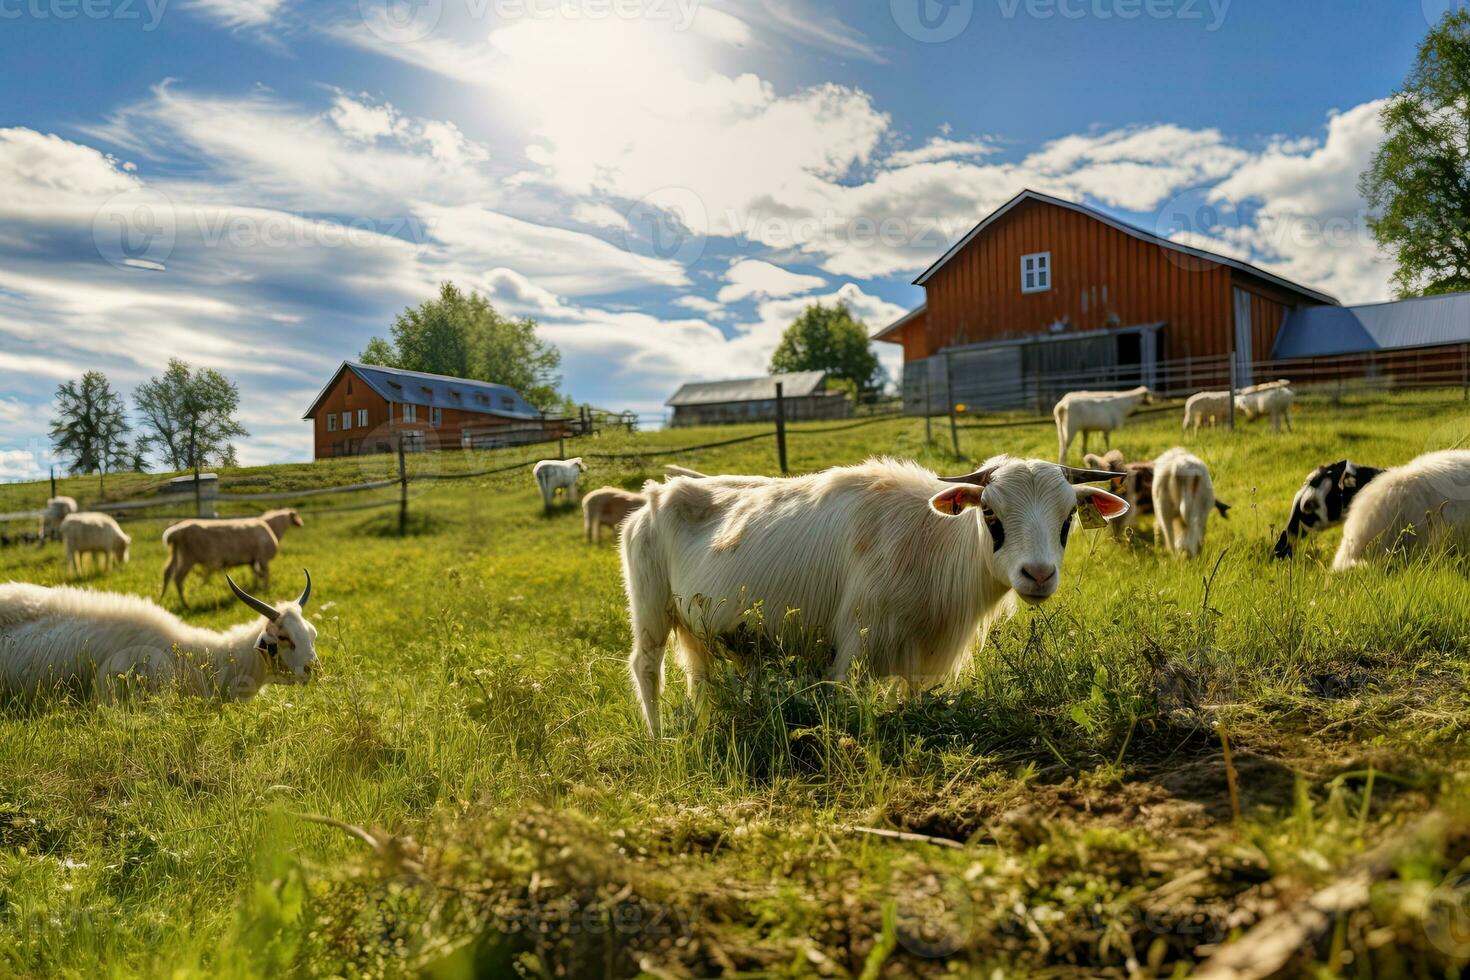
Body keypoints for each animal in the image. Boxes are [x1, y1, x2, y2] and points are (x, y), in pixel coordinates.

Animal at [620, 458, 1123, 734]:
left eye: (1068, 517)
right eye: (990, 514)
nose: (1037, 574)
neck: (928, 540)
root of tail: (653, 496)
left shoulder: (920, 661)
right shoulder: (854, 652)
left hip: (699, 632)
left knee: (700, 681)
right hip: (650, 611)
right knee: (646, 667)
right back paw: (659, 738)